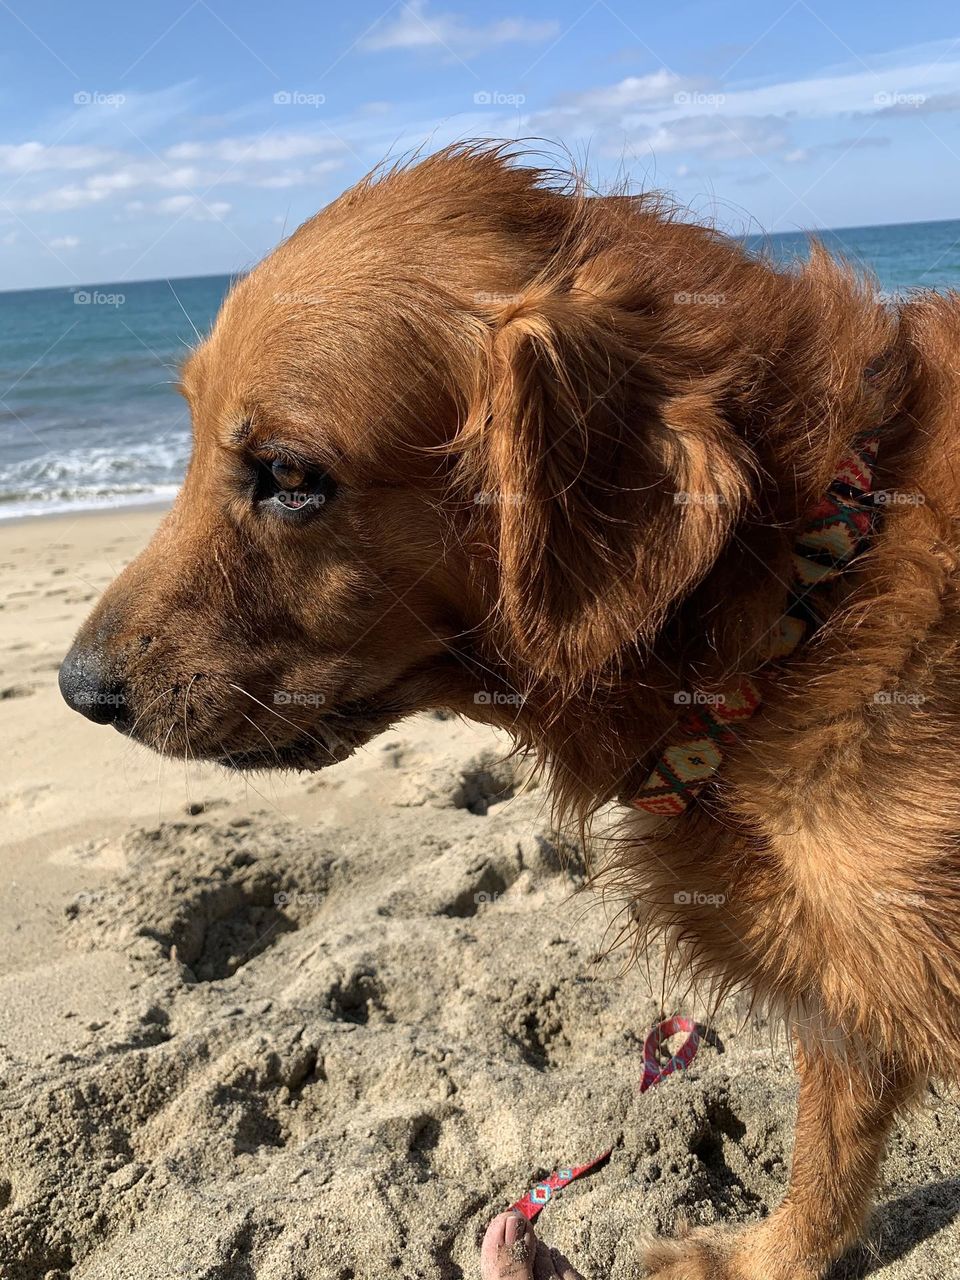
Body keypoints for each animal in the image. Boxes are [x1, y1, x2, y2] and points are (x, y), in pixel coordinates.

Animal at [58, 145, 960, 1274]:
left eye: (289, 475)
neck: (811, 582)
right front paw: (769, 1256)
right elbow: (830, 1145)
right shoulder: (856, 978)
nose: (77, 689)